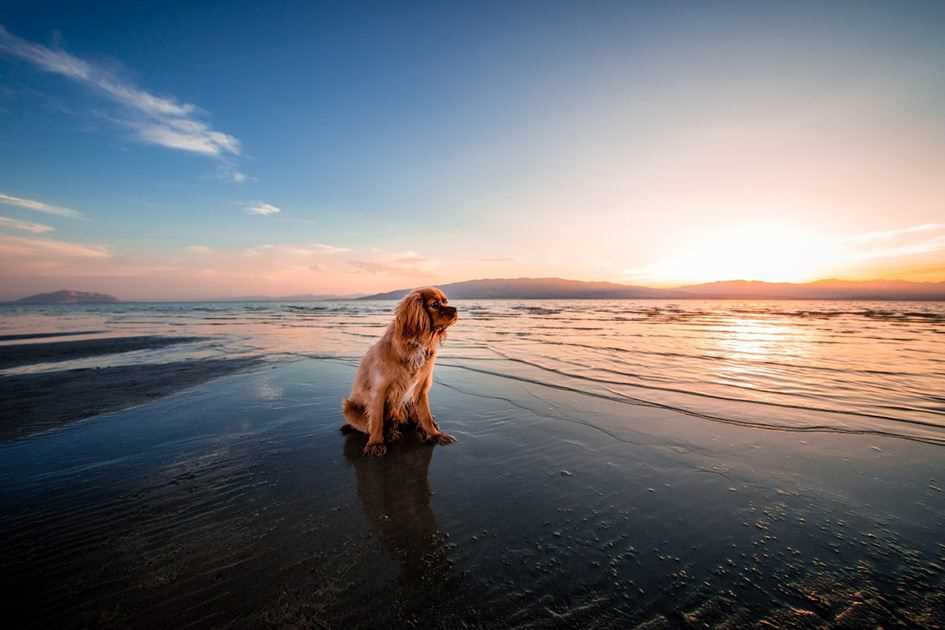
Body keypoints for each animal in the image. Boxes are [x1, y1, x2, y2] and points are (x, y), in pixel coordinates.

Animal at [342, 288, 460, 456]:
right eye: (435, 305)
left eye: (446, 302)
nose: (455, 309)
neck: (416, 343)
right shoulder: (379, 390)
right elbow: (377, 420)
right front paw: (375, 443)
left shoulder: (421, 389)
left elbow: (425, 415)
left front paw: (435, 434)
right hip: (349, 408)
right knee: (374, 425)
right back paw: (389, 434)